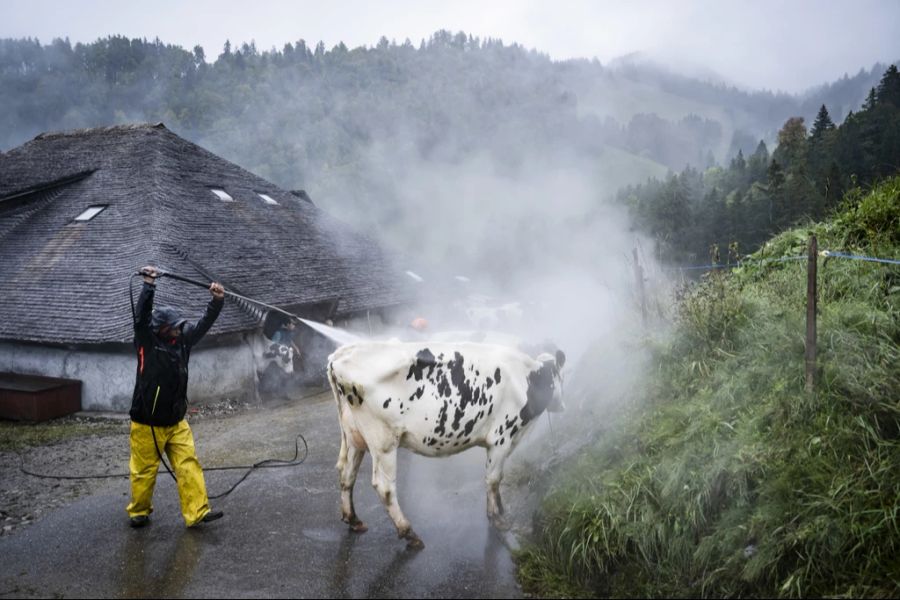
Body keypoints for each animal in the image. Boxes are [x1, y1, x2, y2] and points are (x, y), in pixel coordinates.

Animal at [326, 340, 568, 548]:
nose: (562, 406)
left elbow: (497, 479)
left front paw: (499, 508)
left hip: (354, 436)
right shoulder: (501, 438)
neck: (526, 378)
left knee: (347, 474)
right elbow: (493, 479)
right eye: (558, 376)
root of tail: (340, 355)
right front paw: (496, 518)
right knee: (384, 487)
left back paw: (353, 519)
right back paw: (408, 532)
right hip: (383, 441)